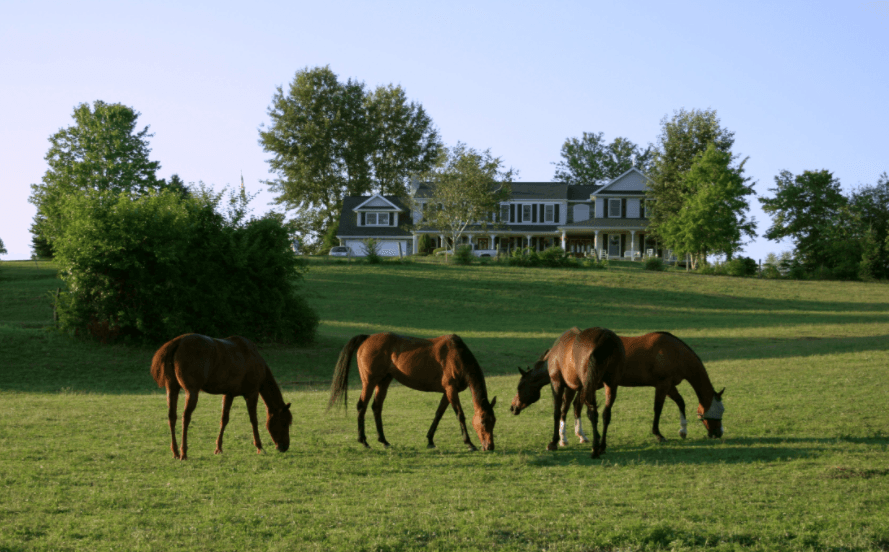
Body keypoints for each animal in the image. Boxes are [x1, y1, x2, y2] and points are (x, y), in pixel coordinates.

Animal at [150, 334, 292, 460]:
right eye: (284, 422)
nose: (284, 447)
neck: (252, 357)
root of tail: (178, 342)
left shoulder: (229, 394)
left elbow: (224, 420)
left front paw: (218, 448)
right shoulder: (252, 394)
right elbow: (254, 420)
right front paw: (259, 446)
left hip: (172, 389)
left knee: (172, 417)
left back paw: (175, 452)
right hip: (192, 392)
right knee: (185, 418)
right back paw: (183, 452)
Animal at [328, 333, 496, 451]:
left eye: (493, 421)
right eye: (483, 421)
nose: (489, 446)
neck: (457, 355)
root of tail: (367, 338)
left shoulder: (447, 392)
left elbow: (438, 414)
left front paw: (430, 440)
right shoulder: (451, 390)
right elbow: (460, 415)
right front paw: (469, 443)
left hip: (384, 381)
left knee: (376, 407)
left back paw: (384, 440)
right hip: (369, 382)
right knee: (361, 406)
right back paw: (363, 441)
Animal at [511, 330, 725, 445]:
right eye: (717, 414)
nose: (719, 433)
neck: (674, 351)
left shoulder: (669, 385)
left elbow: (681, 403)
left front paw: (683, 430)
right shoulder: (662, 384)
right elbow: (658, 409)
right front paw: (659, 434)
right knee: (569, 408)